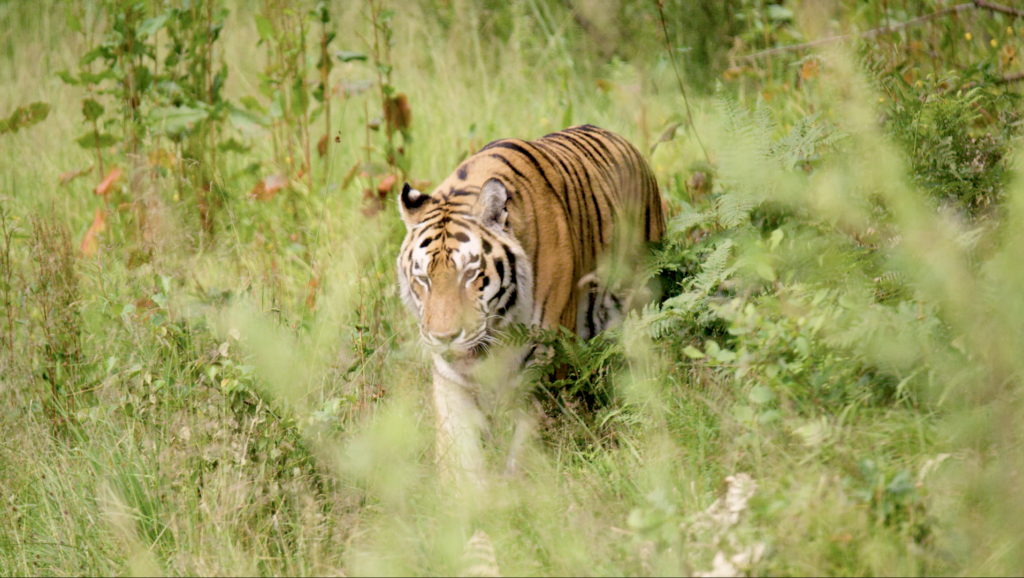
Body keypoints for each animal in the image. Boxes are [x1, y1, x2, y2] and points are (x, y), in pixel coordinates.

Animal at [391, 125, 663, 483]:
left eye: (470, 274)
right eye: (423, 278)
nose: (444, 337)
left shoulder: (544, 360)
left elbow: (528, 441)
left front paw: (522, 486)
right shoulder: (450, 376)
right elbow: (459, 447)